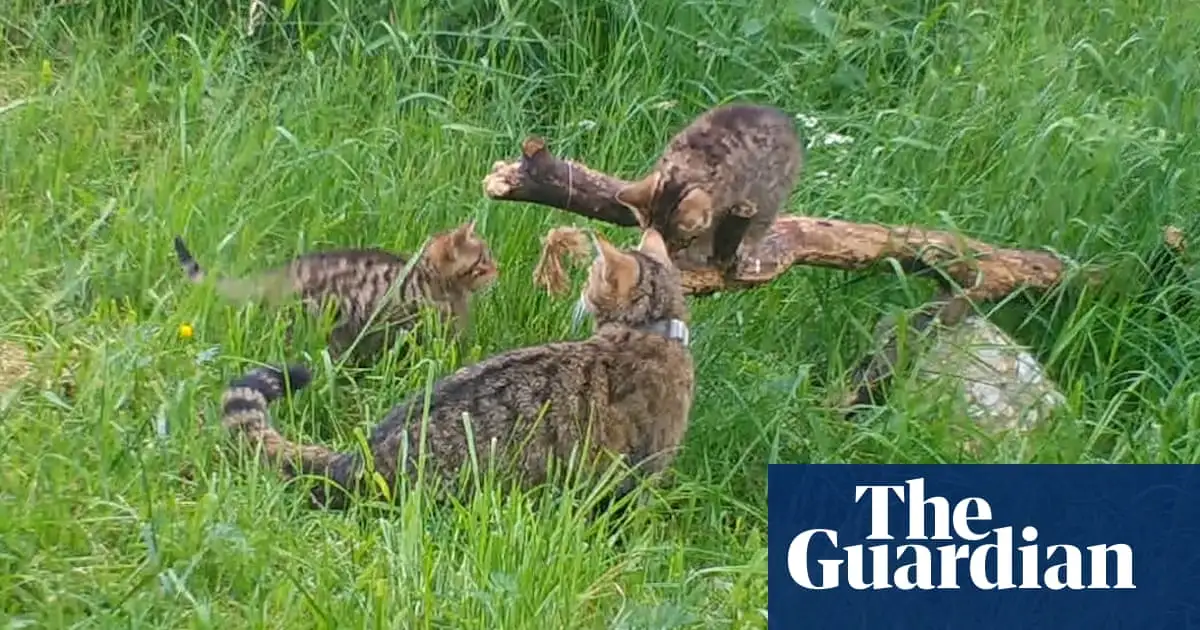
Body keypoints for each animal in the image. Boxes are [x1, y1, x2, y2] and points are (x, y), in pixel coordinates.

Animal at [614, 103, 801, 274]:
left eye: (679, 242)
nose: (668, 253)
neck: (684, 171)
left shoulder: (722, 205)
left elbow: (708, 231)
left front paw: (696, 252)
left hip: (770, 194)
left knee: (760, 225)